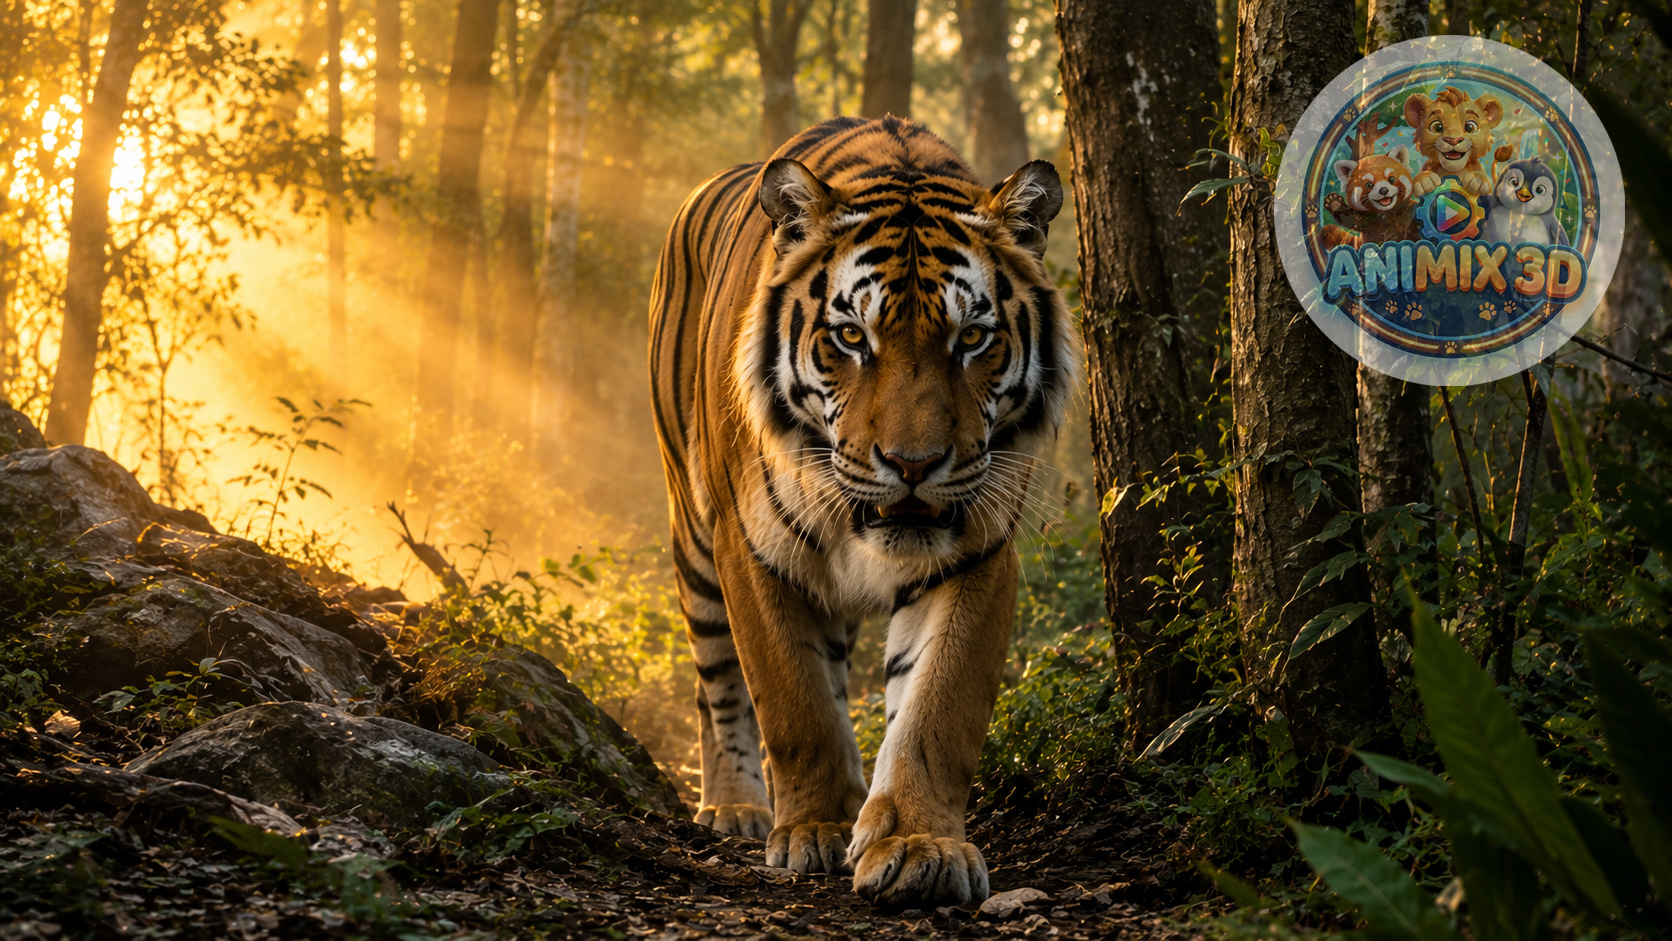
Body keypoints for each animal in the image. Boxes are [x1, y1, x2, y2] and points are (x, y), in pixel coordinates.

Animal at [647, 116, 1076, 907]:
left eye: (973, 337)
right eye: (851, 337)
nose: (912, 465)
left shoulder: (978, 549)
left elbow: (937, 706)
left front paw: (917, 844)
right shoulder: (750, 547)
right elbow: (793, 700)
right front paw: (813, 829)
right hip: (693, 535)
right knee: (715, 680)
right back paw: (736, 806)